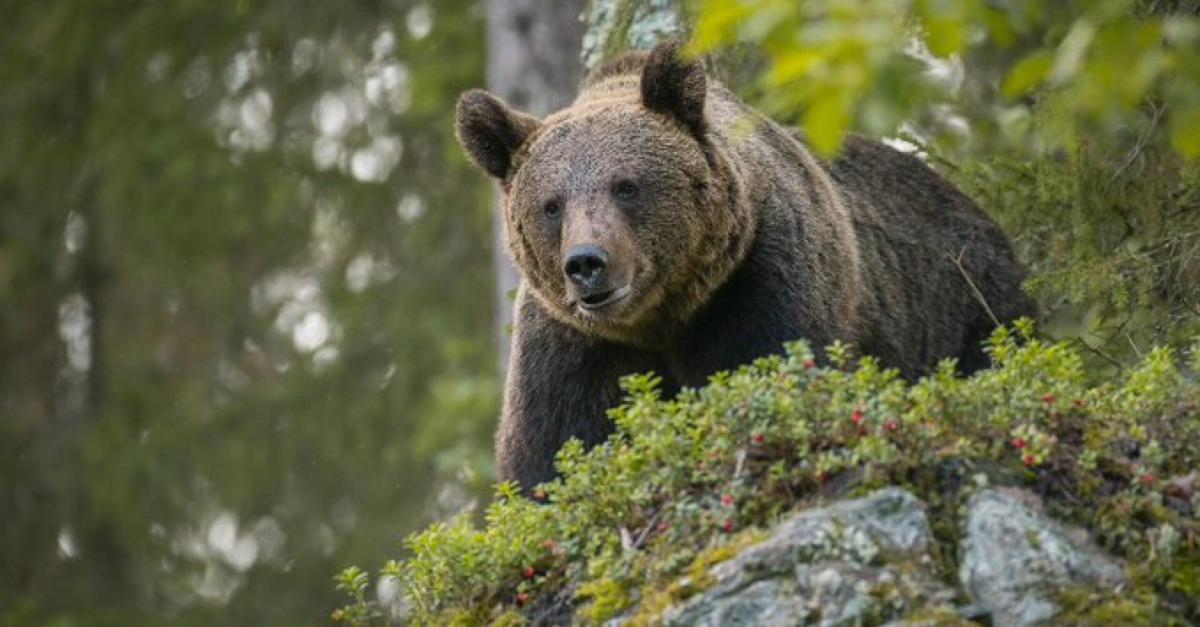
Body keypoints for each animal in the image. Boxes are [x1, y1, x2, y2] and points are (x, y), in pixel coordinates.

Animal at [453, 41, 1036, 490]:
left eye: (626, 186)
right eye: (551, 205)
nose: (587, 264)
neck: (663, 316)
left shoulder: (762, 279)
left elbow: (770, 374)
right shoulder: (574, 342)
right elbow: (554, 451)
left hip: (969, 305)